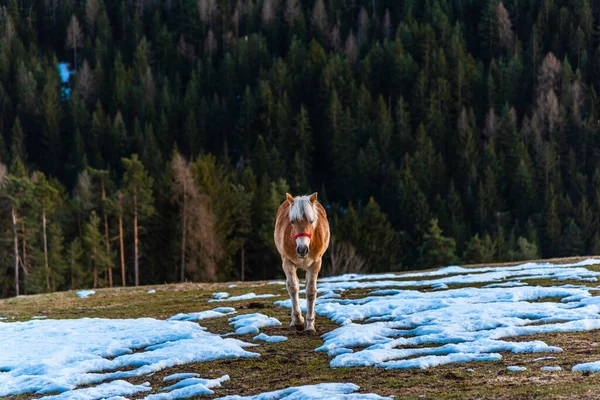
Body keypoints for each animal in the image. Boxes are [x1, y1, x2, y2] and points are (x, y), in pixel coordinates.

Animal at [274, 194, 330, 334]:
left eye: (311, 221)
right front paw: (299, 322)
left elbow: (310, 291)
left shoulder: (316, 263)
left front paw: (310, 326)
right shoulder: (287, 262)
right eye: (292, 221)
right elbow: (293, 288)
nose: (302, 249)